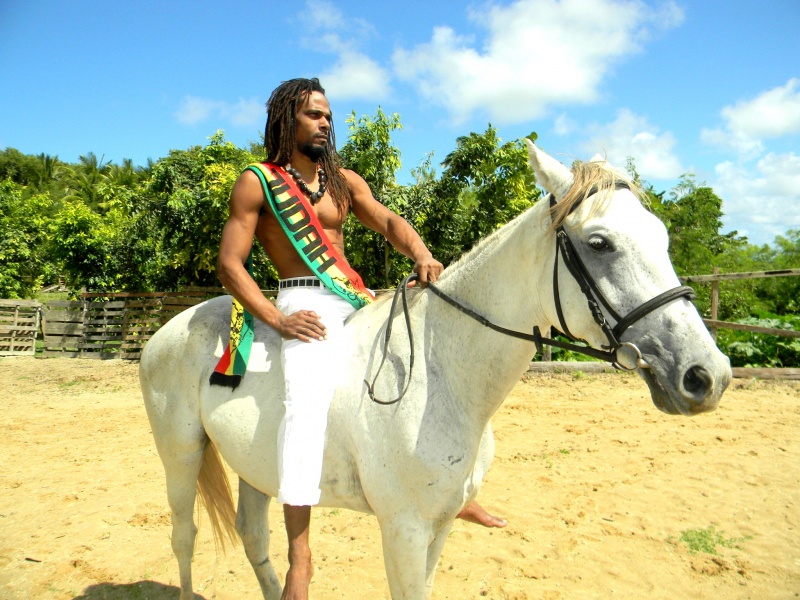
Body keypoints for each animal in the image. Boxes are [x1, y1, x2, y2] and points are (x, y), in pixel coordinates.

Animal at [142, 142, 732, 600]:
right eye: (599, 243)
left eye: (662, 238)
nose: (706, 374)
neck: (439, 376)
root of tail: (170, 330)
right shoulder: (403, 530)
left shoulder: (440, 526)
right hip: (181, 455)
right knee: (184, 536)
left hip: (257, 468)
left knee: (255, 537)